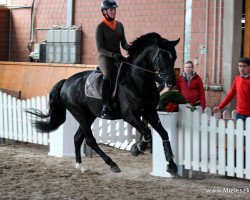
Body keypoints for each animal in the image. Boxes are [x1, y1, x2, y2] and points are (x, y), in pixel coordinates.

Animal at [27, 32, 180, 175]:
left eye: (174, 57)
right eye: (163, 56)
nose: (171, 82)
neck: (138, 80)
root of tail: (66, 81)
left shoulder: (150, 112)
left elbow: (164, 133)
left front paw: (171, 165)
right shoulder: (129, 115)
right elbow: (147, 133)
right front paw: (137, 148)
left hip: (89, 115)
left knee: (78, 138)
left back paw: (80, 165)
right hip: (79, 114)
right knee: (89, 140)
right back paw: (112, 164)